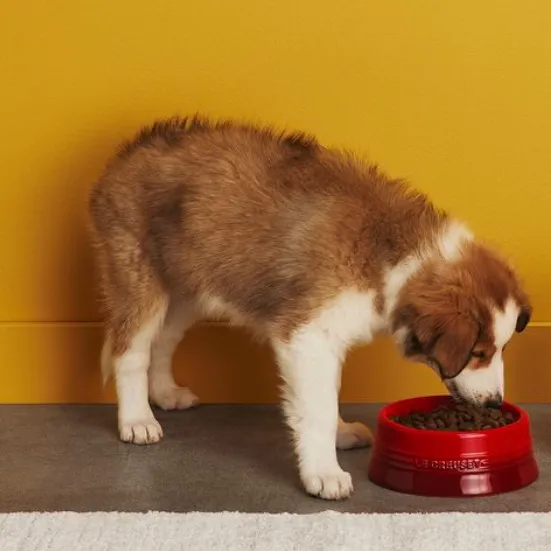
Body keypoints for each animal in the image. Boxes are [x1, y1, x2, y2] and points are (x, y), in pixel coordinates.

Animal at [86, 115, 532, 500]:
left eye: (502, 350)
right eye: (478, 353)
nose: (495, 404)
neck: (391, 255)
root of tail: (130, 149)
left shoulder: (325, 339)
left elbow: (327, 395)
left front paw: (340, 434)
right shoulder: (307, 336)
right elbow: (317, 407)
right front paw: (323, 472)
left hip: (186, 292)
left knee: (161, 343)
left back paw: (163, 394)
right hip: (139, 279)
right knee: (131, 352)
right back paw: (137, 420)